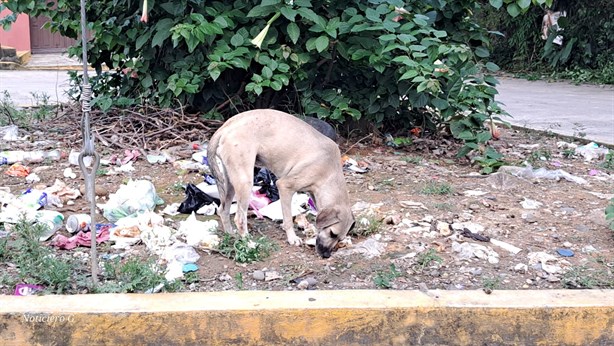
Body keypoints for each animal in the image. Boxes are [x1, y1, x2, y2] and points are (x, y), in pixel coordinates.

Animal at [208, 109, 356, 258]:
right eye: (332, 233)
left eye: (339, 239)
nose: (326, 255)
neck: (330, 172)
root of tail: (226, 126)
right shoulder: (285, 186)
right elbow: (288, 218)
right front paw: (292, 238)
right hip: (245, 183)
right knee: (239, 218)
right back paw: (249, 244)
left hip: (231, 182)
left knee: (223, 210)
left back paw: (231, 236)